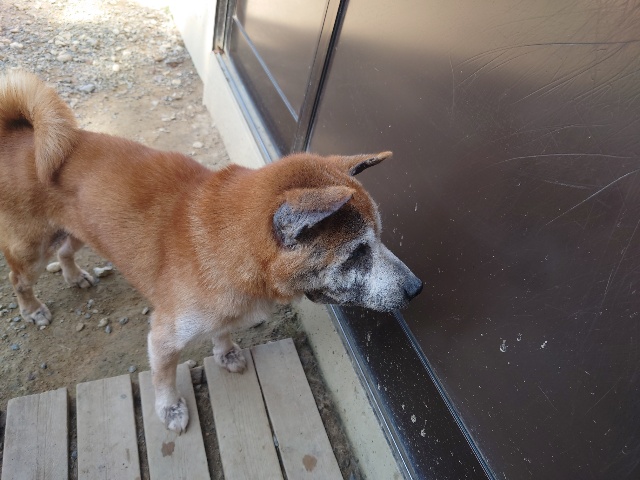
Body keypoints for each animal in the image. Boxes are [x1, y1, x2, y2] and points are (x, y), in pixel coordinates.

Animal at [0, 71, 422, 432]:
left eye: (380, 238)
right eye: (357, 252)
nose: (417, 287)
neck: (226, 243)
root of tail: (20, 135)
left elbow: (223, 331)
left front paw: (227, 351)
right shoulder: (163, 338)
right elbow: (164, 376)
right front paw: (170, 408)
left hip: (78, 230)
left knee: (66, 251)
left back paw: (74, 276)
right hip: (34, 248)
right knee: (18, 277)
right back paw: (32, 309)